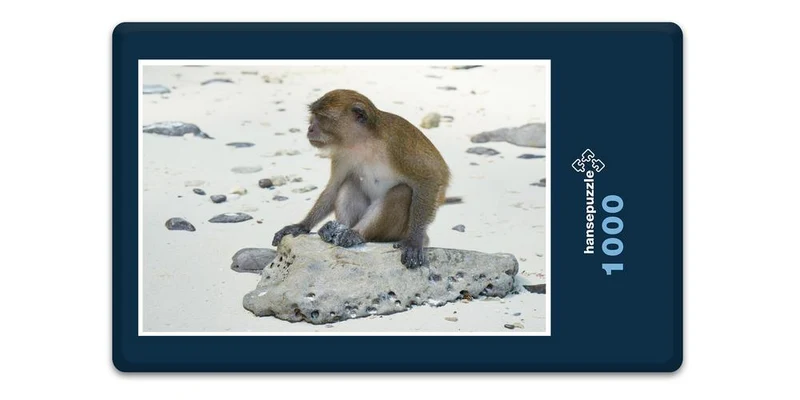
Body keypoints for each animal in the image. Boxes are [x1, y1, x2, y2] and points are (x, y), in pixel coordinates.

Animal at [271, 89, 453, 268]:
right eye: (313, 115)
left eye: (322, 117)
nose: (309, 128)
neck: (365, 141)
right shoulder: (342, 154)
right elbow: (334, 186)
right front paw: (301, 226)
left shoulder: (398, 144)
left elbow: (429, 179)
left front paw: (414, 241)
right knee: (350, 183)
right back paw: (338, 230)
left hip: (398, 231)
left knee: (402, 191)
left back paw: (357, 233)